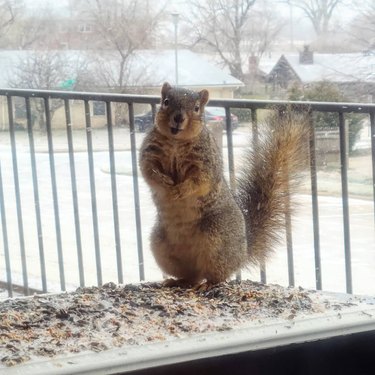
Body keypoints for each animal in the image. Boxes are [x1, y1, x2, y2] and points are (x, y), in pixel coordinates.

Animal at [140, 82, 310, 288]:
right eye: (165, 102)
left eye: (197, 108)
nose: (179, 118)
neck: (176, 141)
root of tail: (243, 253)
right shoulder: (149, 154)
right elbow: (149, 172)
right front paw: (164, 181)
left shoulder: (206, 163)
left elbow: (199, 181)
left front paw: (180, 189)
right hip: (161, 246)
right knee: (192, 276)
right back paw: (177, 281)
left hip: (217, 239)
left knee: (216, 275)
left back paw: (208, 284)